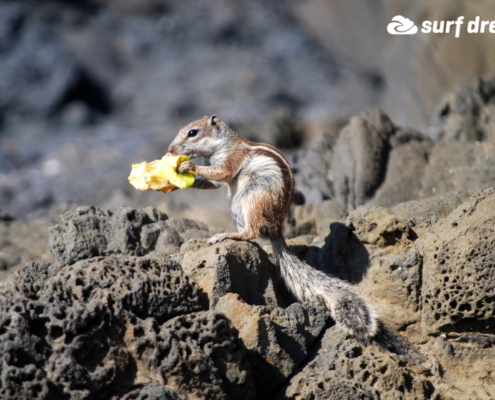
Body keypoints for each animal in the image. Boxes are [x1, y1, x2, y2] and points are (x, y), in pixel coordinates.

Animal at [169, 114, 378, 340]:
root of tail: (276, 229)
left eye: (192, 133)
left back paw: (225, 235)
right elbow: (214, 182)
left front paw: (187, 166)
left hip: (252, 198)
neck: (221, 144)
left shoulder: (231, 159)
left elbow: (222, 173)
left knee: (251, 232)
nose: (170, 150)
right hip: (237, 205)